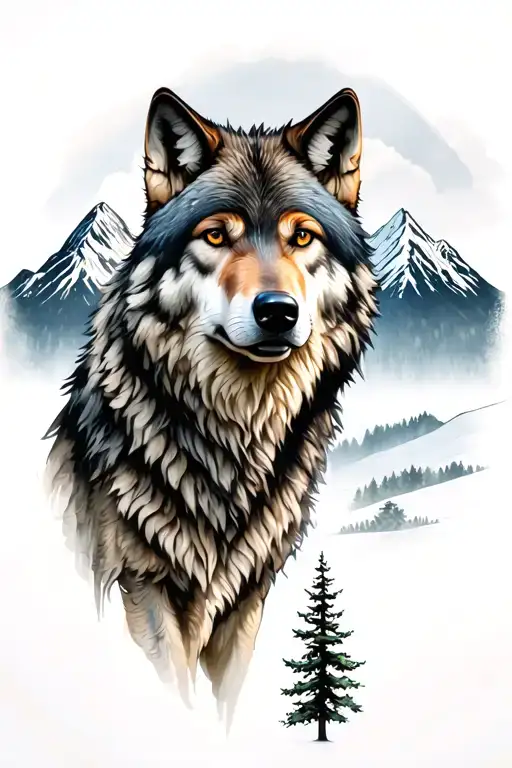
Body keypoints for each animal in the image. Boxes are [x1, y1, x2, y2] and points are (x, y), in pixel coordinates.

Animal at [44, 84, 378, 725]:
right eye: (216, 236)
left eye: (302, 236)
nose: (277, 312)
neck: (234, 434)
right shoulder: (143, 586)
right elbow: (176, 691)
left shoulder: (247, 598)